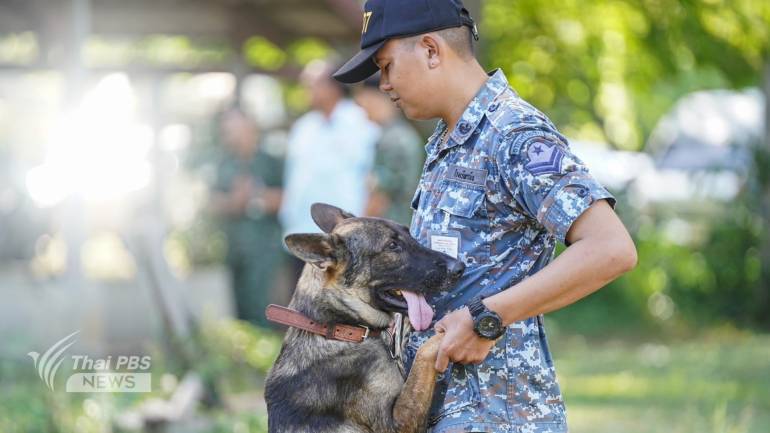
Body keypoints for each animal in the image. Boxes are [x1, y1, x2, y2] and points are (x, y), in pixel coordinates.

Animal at [264, 203, 462, 432]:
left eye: (410, 235)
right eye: (392, 246)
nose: (460, 268)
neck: (341, 328)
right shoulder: (398, 422)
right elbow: (426, 350)